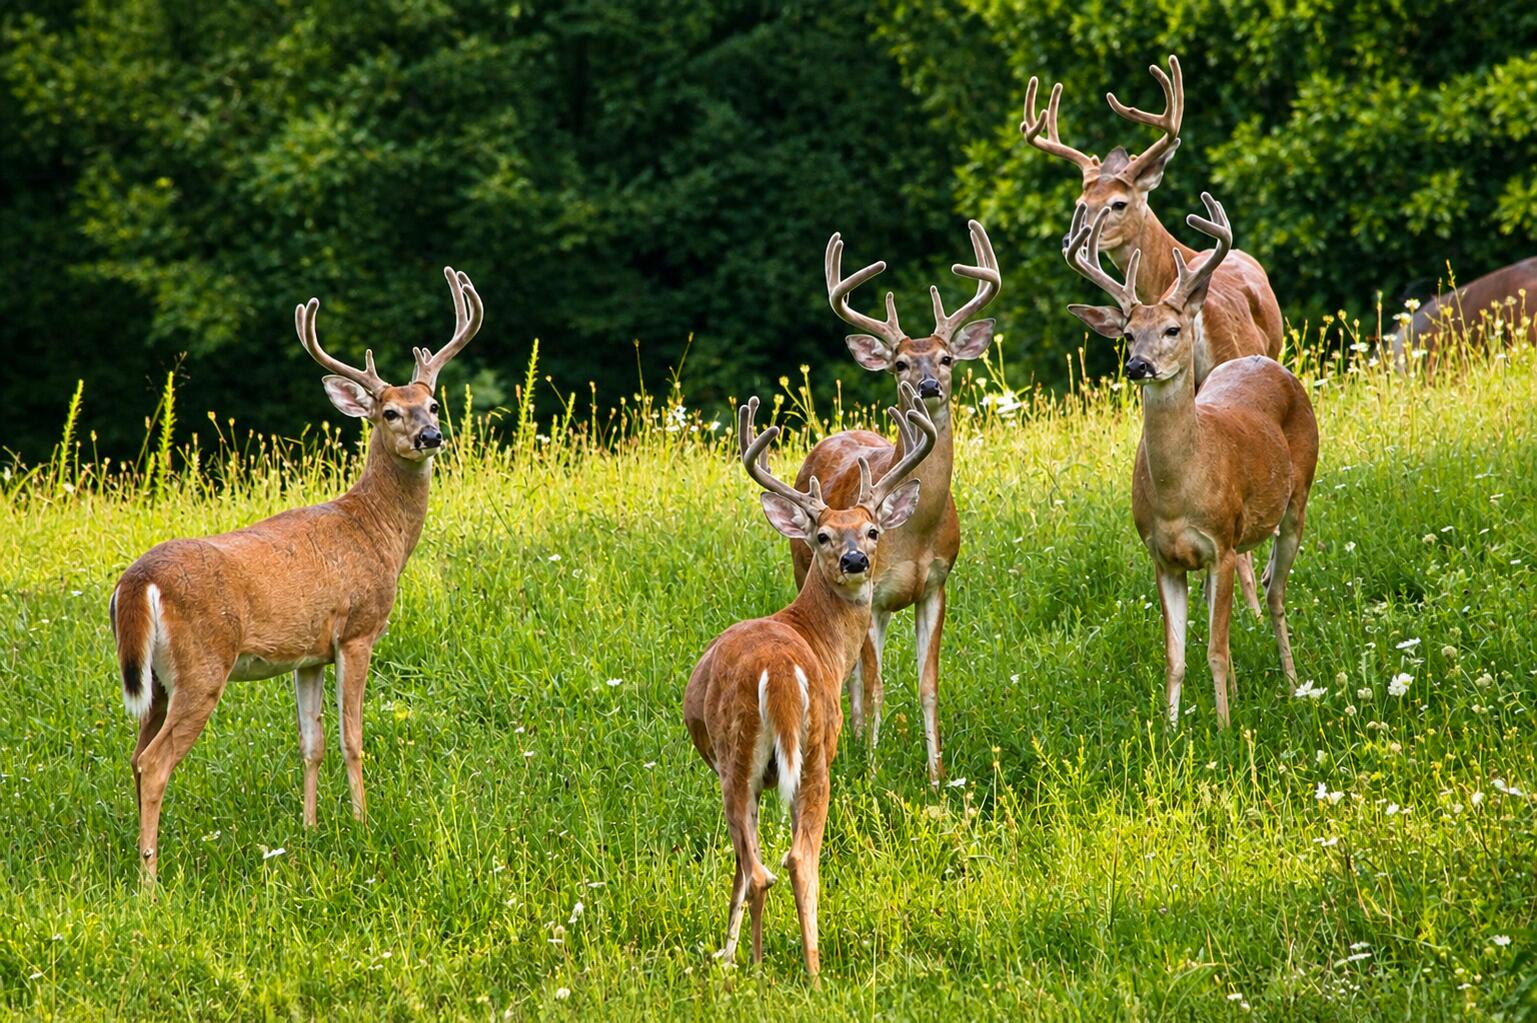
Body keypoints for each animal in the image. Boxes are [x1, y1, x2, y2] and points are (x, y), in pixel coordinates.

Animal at [109, 266, 482, 886]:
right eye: (389, 412)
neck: (377, 532)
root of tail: (136, 582)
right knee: (156, 762)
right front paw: (361, 824)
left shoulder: (308, 654)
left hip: (154, 678)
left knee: (136, 756)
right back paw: (150, 882)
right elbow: (353, 737)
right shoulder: (357, 631)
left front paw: (309, 830)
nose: (430, 437)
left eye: (432, 403)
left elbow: (312, 741)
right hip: (202, 664)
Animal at [684, 392, 937, 976]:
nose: (855, 559)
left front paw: (726, 953)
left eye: (872, 530)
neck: (816, 637)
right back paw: (802, 970)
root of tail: (778, 674)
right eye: (823, 535)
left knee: (768, 865)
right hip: (808, 751)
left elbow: (739, 867)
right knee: (788, 862)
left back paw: (773, 970)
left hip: (752, 759)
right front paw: (729, 953)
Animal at [798, 220, 1000, 787]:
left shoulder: (935, 585)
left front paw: (936, 776)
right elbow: (875, 689)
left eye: (947, 358)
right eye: (900, 362)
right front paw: (871, 773)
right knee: (852, 675)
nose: (928, 385)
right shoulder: (875, 594)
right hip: (807, 567)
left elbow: (929, 686)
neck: (915, 531)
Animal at [1063, 194, 1318, 729]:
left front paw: (1223, 729)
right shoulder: (1163, 556)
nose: (1138, 365)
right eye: (1127, 334)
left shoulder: (1221, 543)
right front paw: (1171, 729)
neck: (1180, 492)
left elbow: (1215, 651)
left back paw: (1290, 683)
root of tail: (1269, 364)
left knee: (1275, 593)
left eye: (1172, 329)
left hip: (1296, 500)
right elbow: (1176, 655)